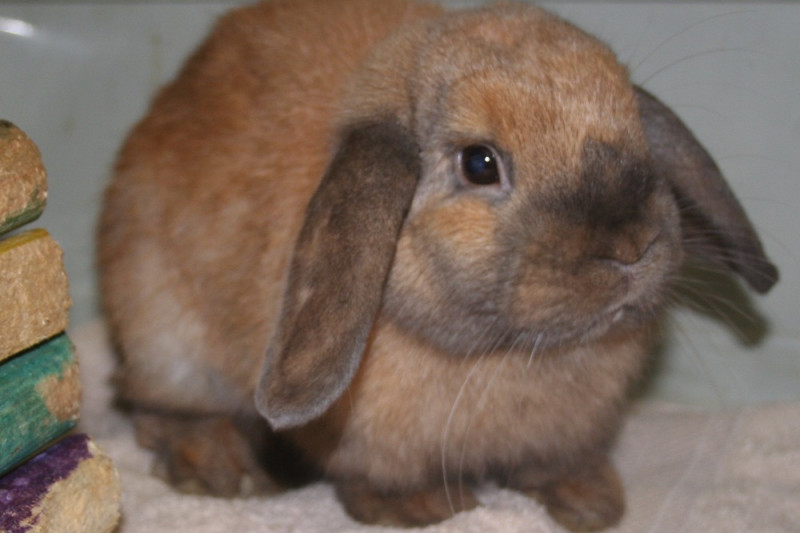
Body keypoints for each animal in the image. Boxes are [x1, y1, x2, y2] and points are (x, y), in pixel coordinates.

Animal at [97, 0, 778, 530]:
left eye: (635, 129)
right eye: (480, 163)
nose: (632, 245)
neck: (505, 356)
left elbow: (556, 465)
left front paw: (590, 502)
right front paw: (424, 510)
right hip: (164, 337)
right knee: (155, 408)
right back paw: (217, 465)